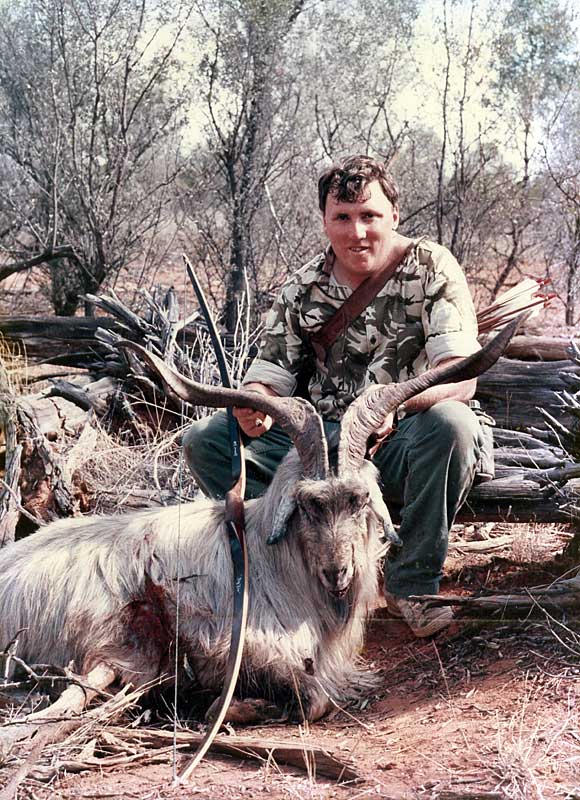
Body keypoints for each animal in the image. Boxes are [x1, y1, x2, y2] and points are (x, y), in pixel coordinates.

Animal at [0, 318, 520, 724]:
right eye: (309, 504)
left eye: (357, 500)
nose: (338, 573)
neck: (276, 563)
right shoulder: (240, 646)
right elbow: (313, 700)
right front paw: (227, 708)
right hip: (115, 637)